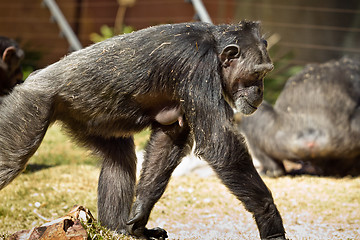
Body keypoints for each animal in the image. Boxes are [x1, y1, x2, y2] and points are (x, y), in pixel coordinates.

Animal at [0, 21, 286, 239]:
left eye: (265, 73)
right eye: (257, 74)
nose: (260, 91)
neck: (215, 50)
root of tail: (30, 79)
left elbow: (169, 138)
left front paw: (140, 216)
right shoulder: (199, 68)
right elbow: (221, 145)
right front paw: (269, 219)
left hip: (88, 121)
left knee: (120, 158)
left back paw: (117, 229)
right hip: (30, 105)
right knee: (11, 161)